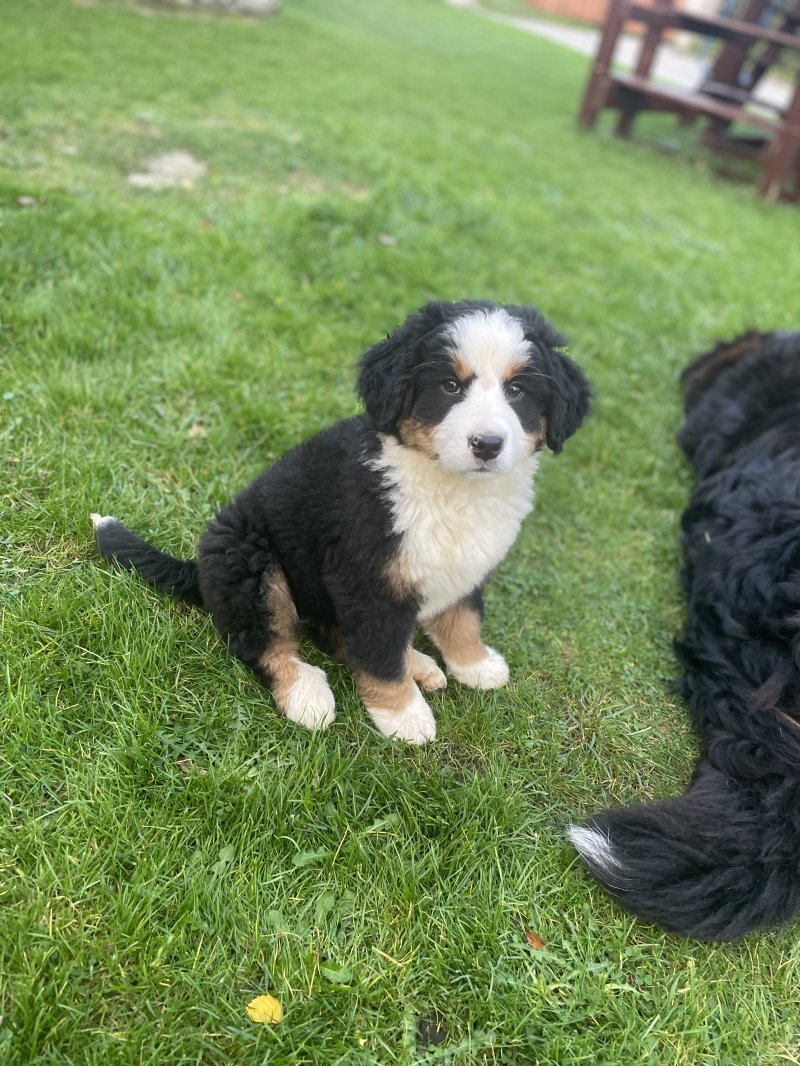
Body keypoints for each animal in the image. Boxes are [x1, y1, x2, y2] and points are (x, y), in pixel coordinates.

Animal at [95, 300, 597, 746]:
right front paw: (404, 716)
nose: (488, 444)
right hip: (252, 563)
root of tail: (200, 566)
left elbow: (462, 616)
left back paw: (420, 664)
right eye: (450, 386)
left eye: (517, 391)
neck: (451, 489)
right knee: (264, 642)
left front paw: (473, 664)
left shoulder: (466, 563)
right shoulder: (366, 578)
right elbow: (378, 655)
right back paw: (307, 694)